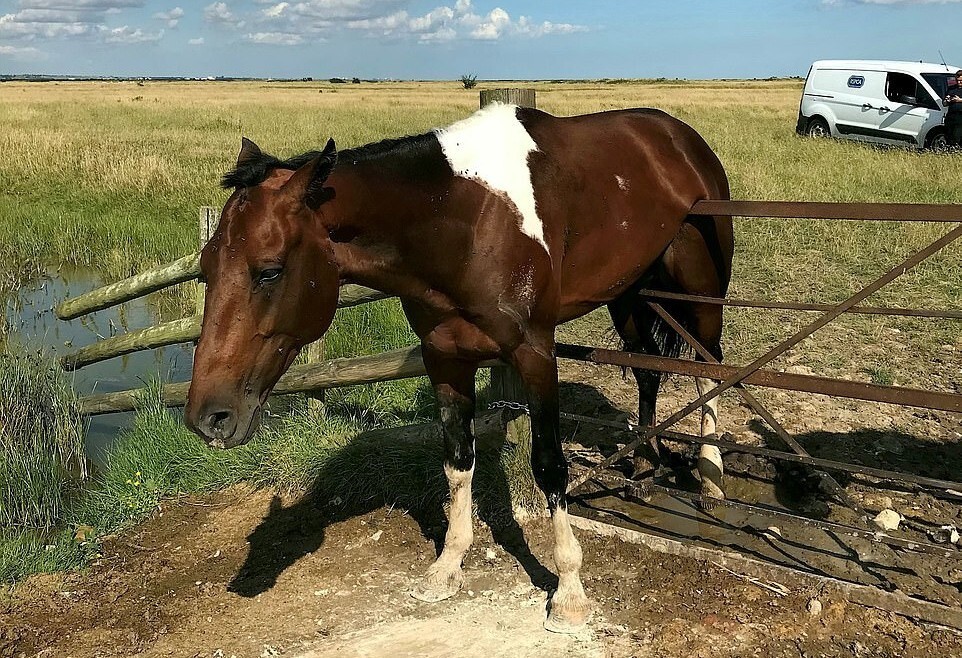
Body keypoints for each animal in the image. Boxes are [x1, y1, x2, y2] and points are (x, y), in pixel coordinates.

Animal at [184, 102, 732, 632]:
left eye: (269, 270)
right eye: (205, 268)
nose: (209, 418)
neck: (464, 222)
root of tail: (679, 137)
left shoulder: (536, 355)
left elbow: (549, 465)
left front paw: (570, 594)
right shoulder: (444, 358)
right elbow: (457, 460)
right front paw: (447, 567)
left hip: (701, 292)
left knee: (711, 367)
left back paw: (710, 479)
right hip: (630, 293)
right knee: (647, 369)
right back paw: (646, 464)